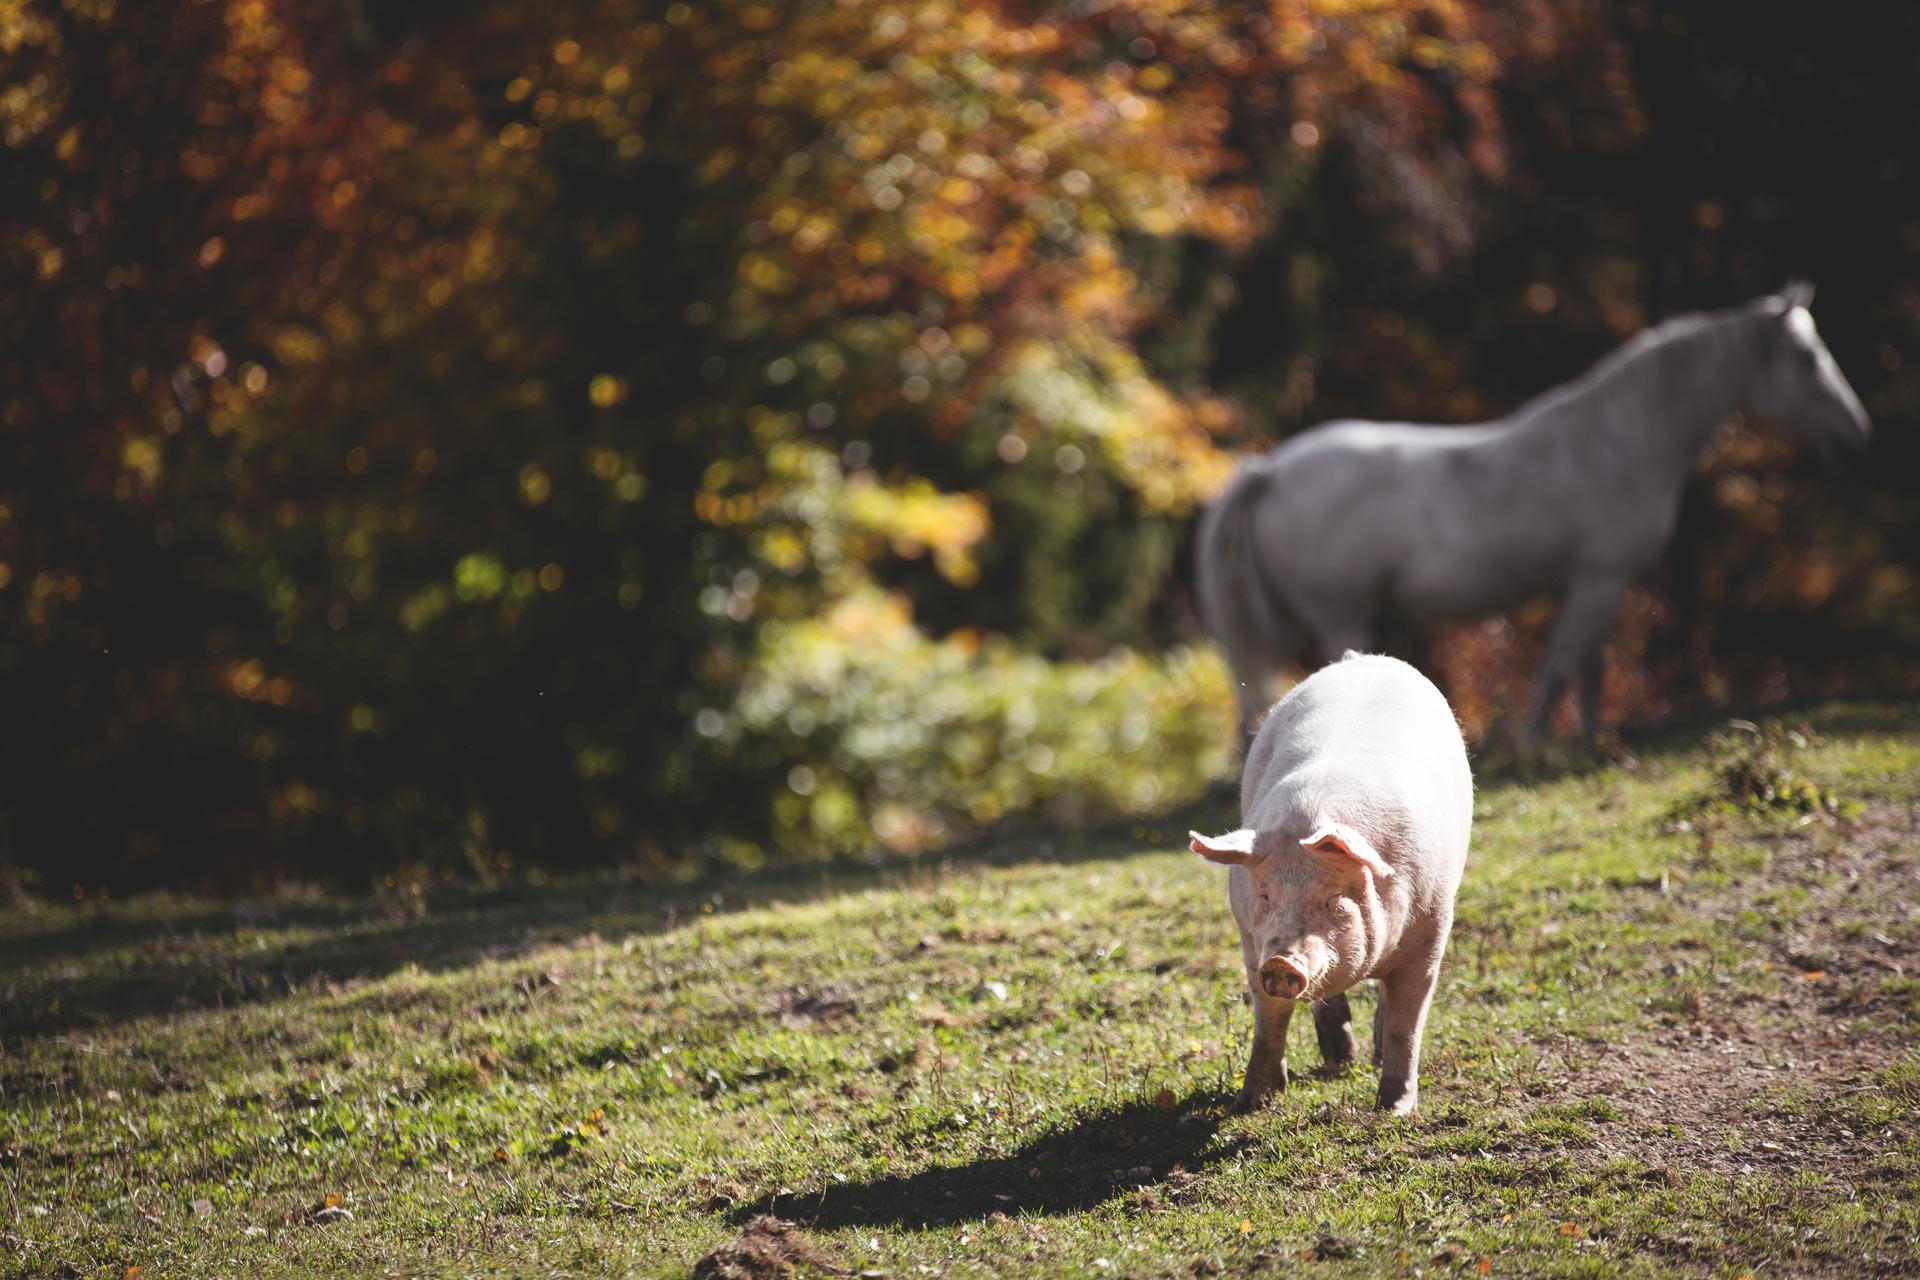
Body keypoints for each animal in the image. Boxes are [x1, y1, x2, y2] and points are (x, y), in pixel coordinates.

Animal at [1190, 652, 1474, 1113]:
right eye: (1265, 895)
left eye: (1333, 899)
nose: (1281, 962)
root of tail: (1361, 659)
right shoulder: (1250, 939)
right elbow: (1269, 1021)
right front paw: (1251, 1102)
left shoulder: (1431, 933)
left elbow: (1406, 1024)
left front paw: (1394, 1109)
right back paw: (1341, 1063)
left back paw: (1370, 1059)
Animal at [1198, 282, 1873, 740]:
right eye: (1808, 359)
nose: (1857, 434)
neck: (1616, 440)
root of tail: (1269, 470)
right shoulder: (1600, 578)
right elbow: (1566, 668)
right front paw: (1544, 745)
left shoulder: (1596, 584)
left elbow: (1585, 669)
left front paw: (1580, 740)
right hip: (1342, 616)